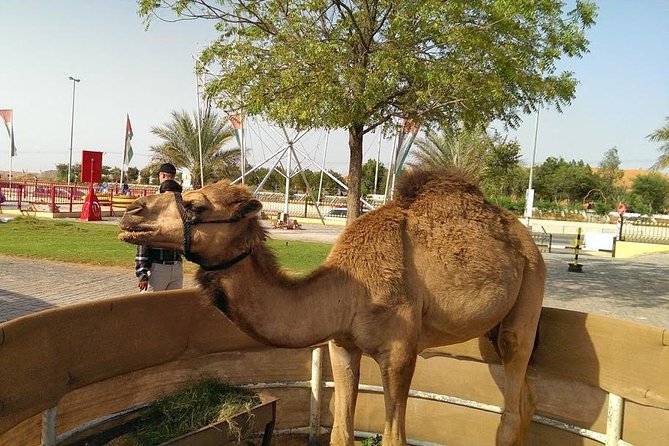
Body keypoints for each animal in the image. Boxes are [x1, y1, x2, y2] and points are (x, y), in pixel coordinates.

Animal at [118, 169, 545, 446]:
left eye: (196, 205)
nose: (130, 212)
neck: (350, 288)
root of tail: (522, 233)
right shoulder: (341, 344)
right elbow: (340, 433)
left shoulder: (399, 353)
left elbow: (394, 439)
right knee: (526, 400)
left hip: (530, 288)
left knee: (513, 396)